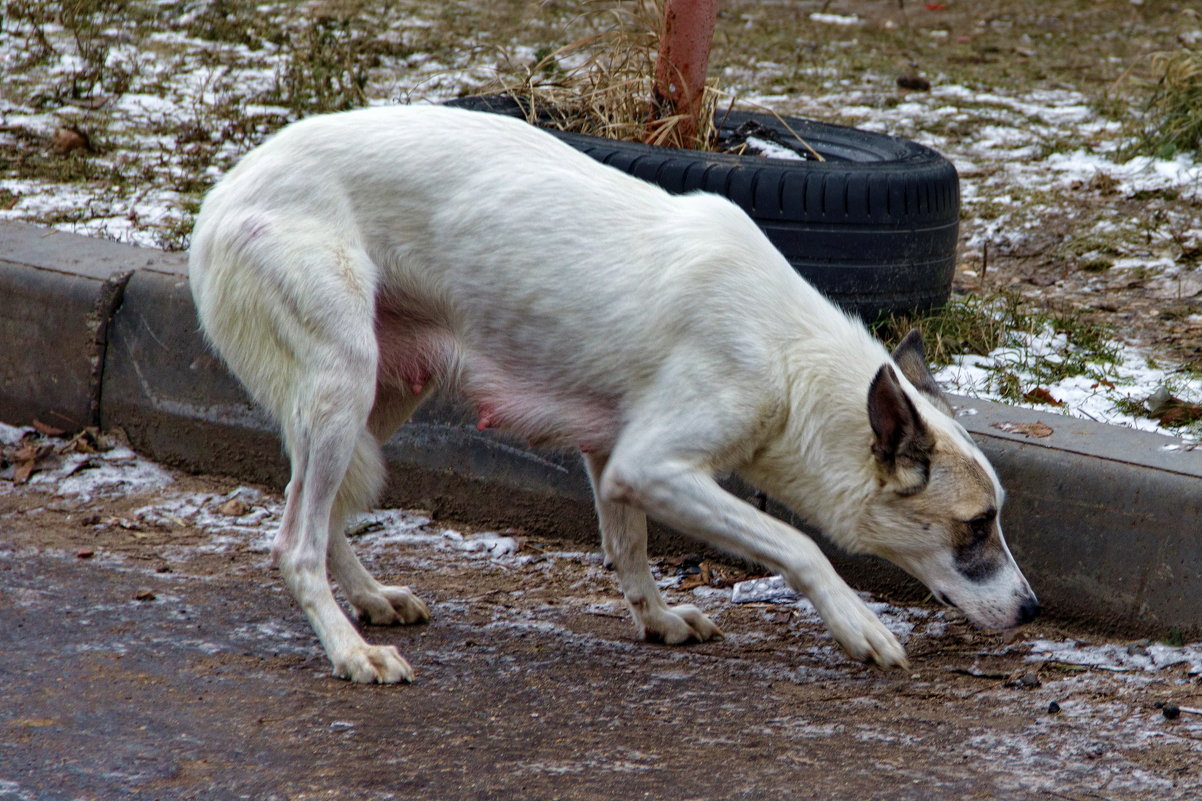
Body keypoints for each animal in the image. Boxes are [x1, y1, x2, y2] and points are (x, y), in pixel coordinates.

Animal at [192, 104, 1038, 678]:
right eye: (975, 526)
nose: (1033, 609)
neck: (788, 353)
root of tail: (220, 196)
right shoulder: (653, 465)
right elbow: (798, 545)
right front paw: (857, 624)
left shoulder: (615, 460)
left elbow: (629, 549)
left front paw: (657, 620)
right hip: (342, 386)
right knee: (295, 542)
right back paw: (350, 647)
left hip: (382, 393)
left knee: (317, 509)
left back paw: (368, 599)